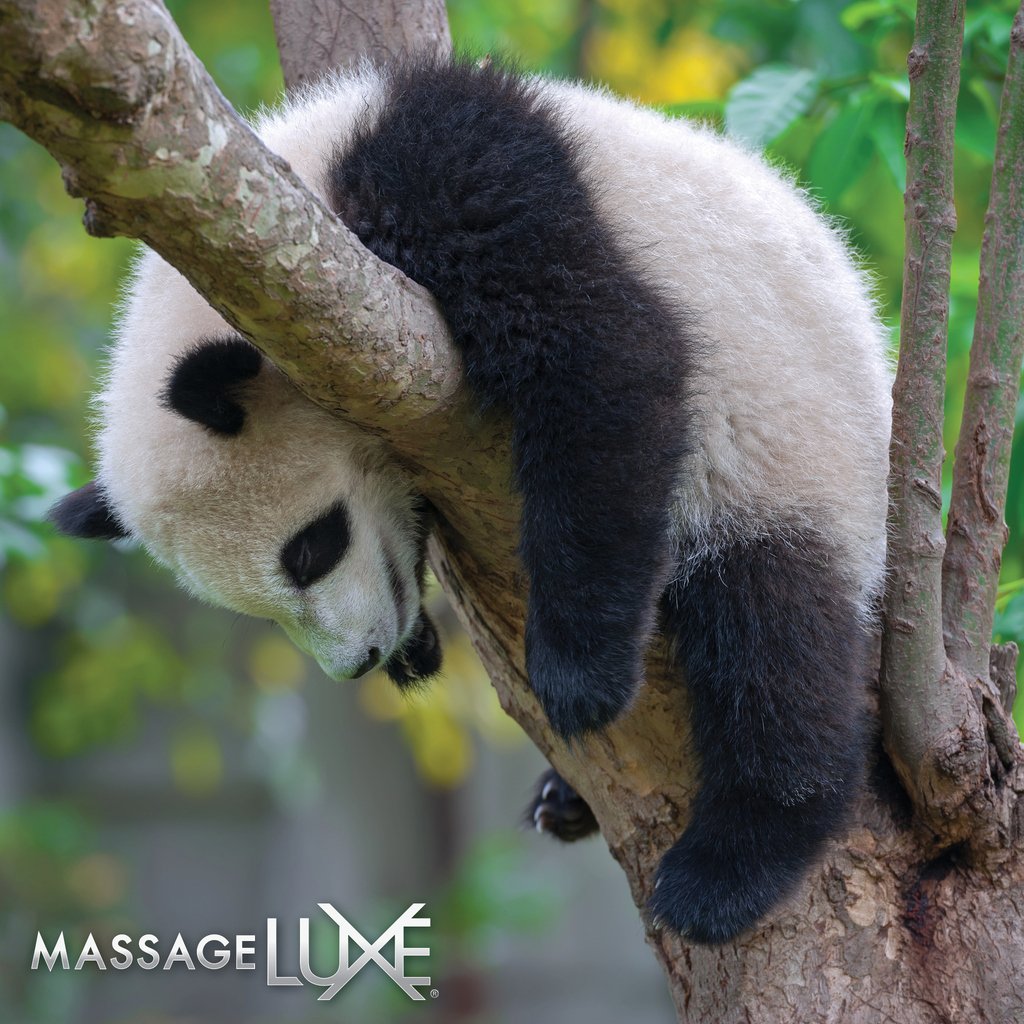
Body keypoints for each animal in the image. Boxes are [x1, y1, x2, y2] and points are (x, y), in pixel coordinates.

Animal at [50, 55, 891, 946]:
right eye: (258, 609)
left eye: (313, 547)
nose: (361, 660)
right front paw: (421, 644)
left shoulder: (456, 177)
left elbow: (606, 354)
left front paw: (579, 678)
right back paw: (567, 803)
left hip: (794, 464)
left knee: (773, 639)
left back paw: (730, 867)